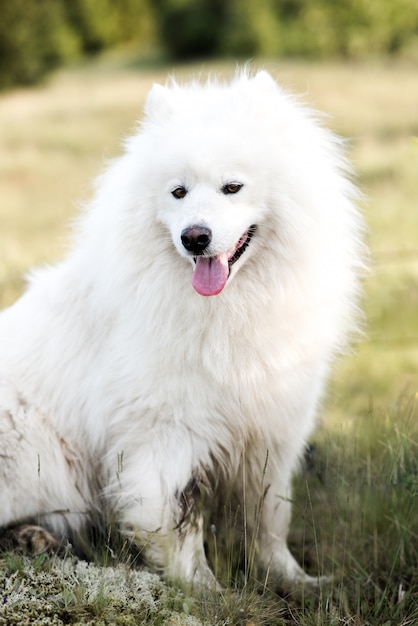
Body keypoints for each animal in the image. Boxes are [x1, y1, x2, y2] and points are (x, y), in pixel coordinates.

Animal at [0, 69, 364, 588]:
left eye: (232, 187)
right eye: (178, 192)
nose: (195, 237)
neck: (228, 309)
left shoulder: (269, 433)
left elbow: (269, 521)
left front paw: (296, 583)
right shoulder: (164, 437)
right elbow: (178, 529)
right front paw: (206, 592)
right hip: (32, 448)